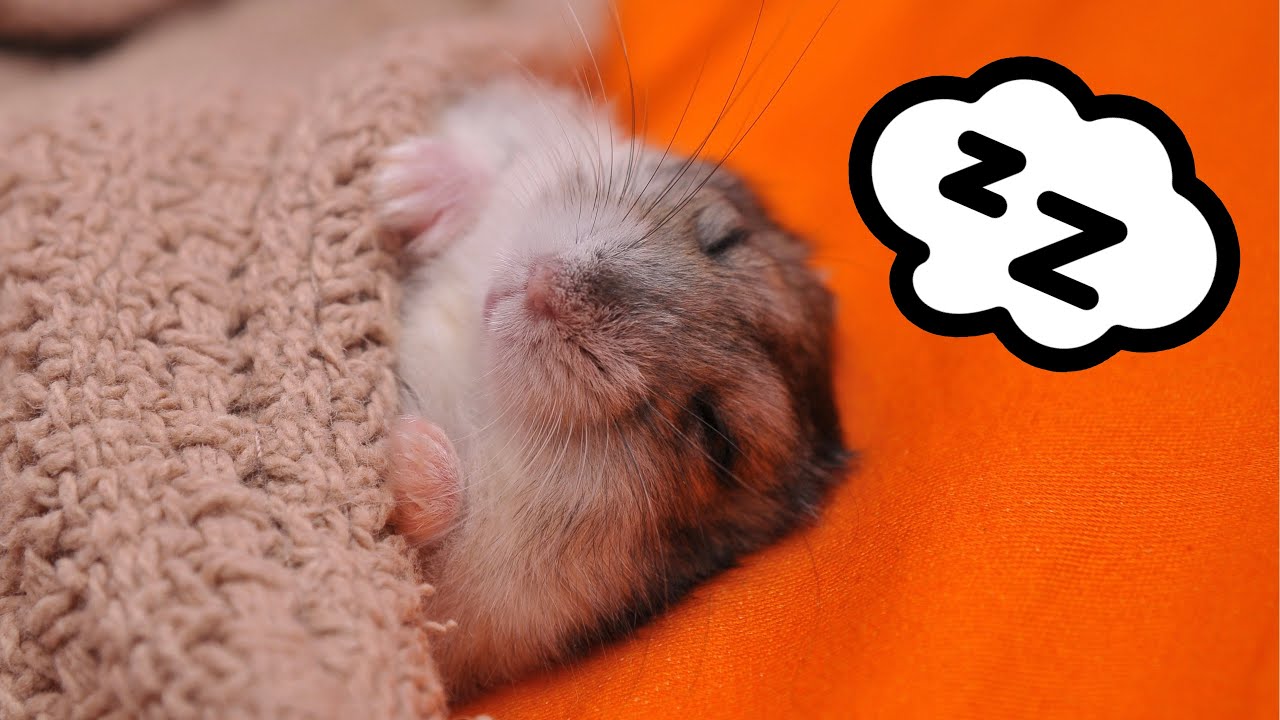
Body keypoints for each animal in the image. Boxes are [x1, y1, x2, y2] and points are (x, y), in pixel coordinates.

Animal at [374, 76, 850, 701]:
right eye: (723, 241)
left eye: (716, 434)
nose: (546, 289)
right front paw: (396, 181)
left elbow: (441, 510)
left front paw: (405, 450)